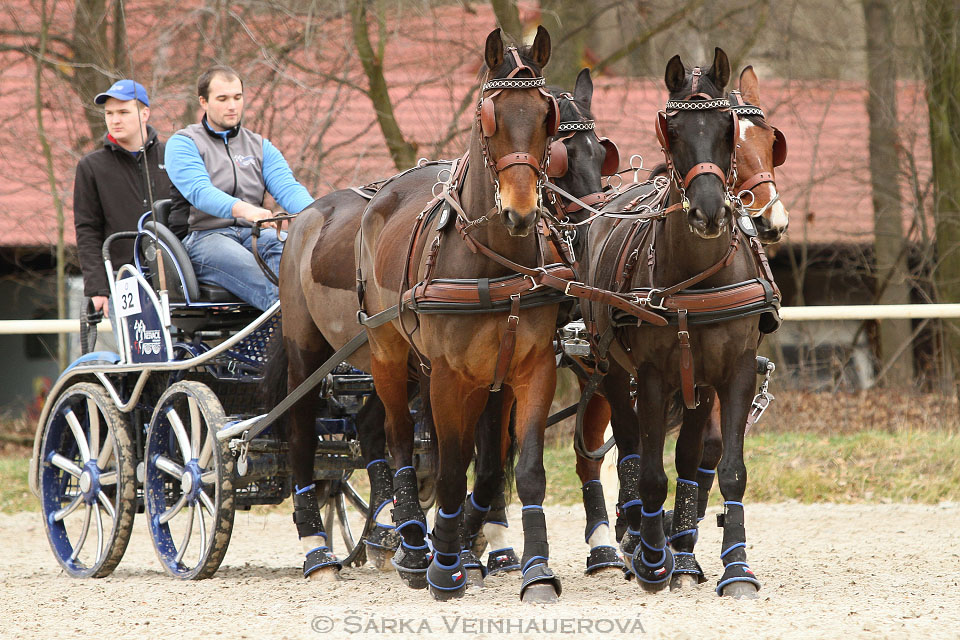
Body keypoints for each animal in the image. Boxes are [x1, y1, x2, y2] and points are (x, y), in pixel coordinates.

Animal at [360, 26, 568, 604]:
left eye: (547, 116)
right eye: (489, 118)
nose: (520, 213)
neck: (495, 260)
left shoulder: (531, 369)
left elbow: (525, 470)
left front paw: (536, 570)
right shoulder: (449, 375)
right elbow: (451, 470)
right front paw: (443, 568)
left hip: (484, 382)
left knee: (488, 463)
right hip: (389, 356)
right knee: (399, 441)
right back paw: (414, 545)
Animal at [576, 47, 780, 596]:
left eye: (728, 129)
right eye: (673, 129)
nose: (709, 211)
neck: (697, 279)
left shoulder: (731, 373)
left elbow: (727, 468)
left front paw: (734, 567)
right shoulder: (650, 376)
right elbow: (649, 473)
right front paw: (652, 559)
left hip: (695, 385)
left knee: (686, 455)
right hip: (609, 367)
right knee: (626, 448)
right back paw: (631, 537)